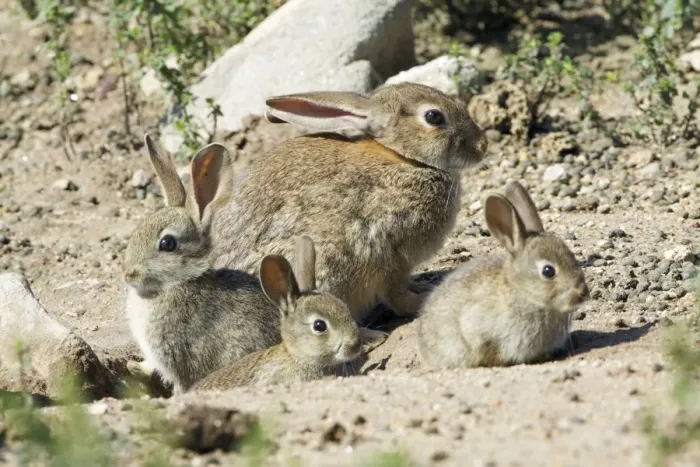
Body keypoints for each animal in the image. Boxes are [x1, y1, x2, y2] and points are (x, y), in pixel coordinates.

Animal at [210, 82, 489, 325]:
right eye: (433, 116)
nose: (482, 145)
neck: (405, 158)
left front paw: (422, 285)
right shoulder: (388, 251)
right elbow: (397, 296)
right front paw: (423, 299)